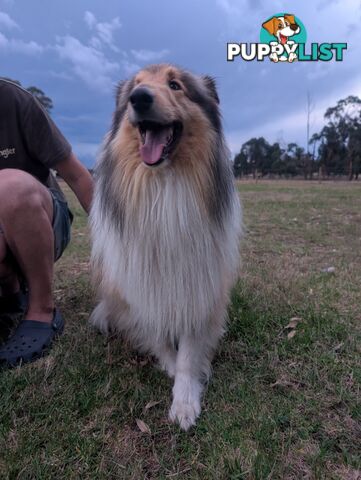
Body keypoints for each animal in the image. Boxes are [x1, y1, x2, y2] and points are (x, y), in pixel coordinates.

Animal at [89, 64, 242, 432]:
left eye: (175, 85)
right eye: (137, 84)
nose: (139, 97)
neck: (162, 186)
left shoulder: (197, 287)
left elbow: (188, 352)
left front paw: (185, 398)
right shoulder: (139, 288)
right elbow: (157, 336)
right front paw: (171, 368)